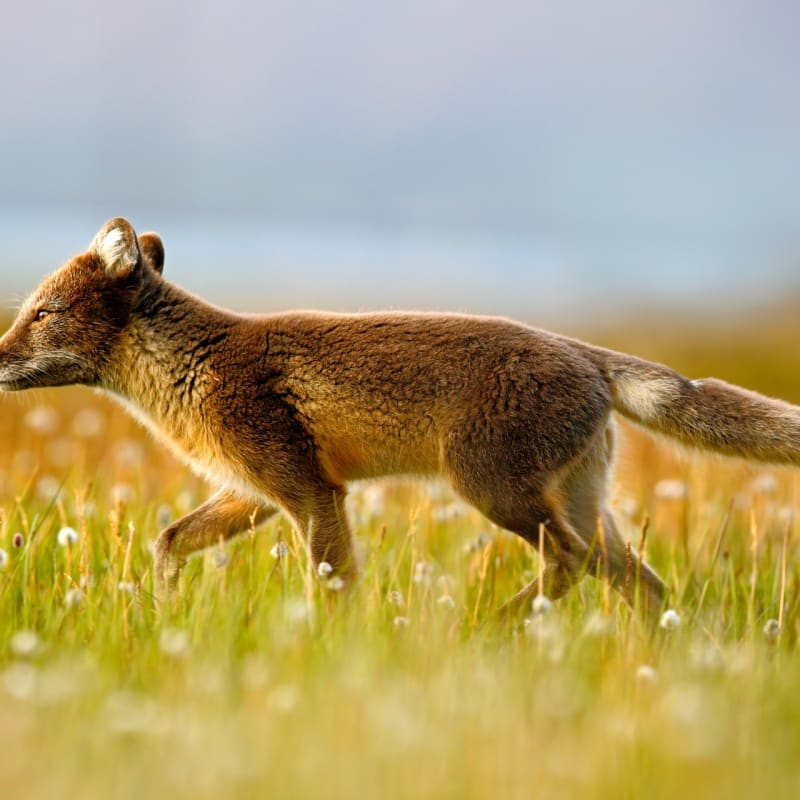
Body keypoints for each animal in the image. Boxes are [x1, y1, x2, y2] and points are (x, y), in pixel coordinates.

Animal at [1, 217, 799, 617]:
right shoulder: (254, 493)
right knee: (647, 587)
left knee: (568, 563)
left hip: (494, 491)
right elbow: (167, 542)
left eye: (42, 314)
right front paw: (164, 611)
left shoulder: (309, 493)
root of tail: (583, 352)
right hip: (582, 507)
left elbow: (334, 589)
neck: (194, 366)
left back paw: (489, 628)